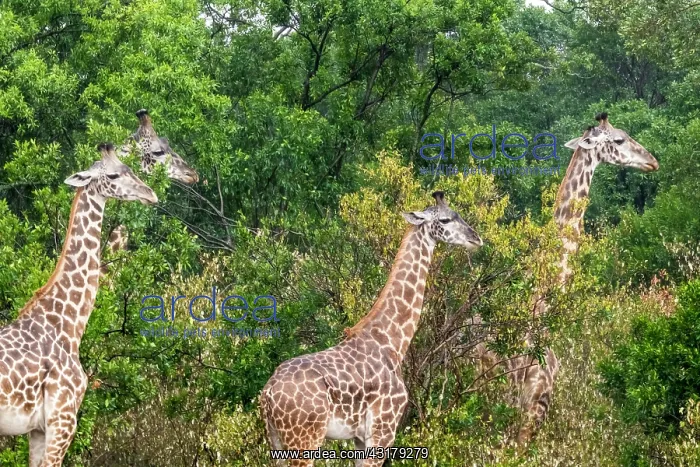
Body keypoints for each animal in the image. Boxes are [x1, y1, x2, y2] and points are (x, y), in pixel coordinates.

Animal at [0, 143, 158, 466]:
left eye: (130, 168)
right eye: (113, 174)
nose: (150, 194)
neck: (68, 324)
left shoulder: (38, 429)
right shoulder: (63, 418)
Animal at [261, 192, 483, 466]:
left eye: (458, 214)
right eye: (445, 219)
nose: (476, 238)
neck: (393, 340)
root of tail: (268, 394)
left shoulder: (359, 437)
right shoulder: (383, 429)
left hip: (276, 440)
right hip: (304, 439)